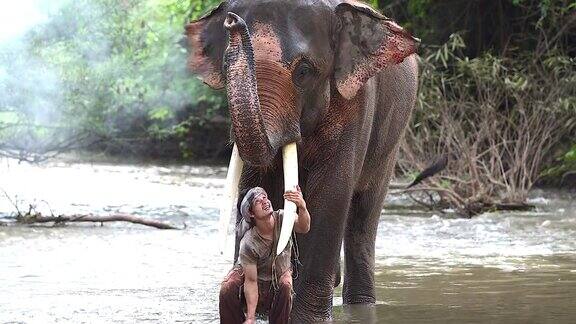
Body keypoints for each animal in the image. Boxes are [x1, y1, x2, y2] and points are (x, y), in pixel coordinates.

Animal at [187, 0, 416, 322]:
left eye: (304, 71)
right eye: (224, 67)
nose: (232, 21)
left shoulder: (356, 103)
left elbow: (333, 193)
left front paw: (306, 318)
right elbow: (256, 182)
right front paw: (260, 309)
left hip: (392, 140)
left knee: (363, 216)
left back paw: (359, 302)